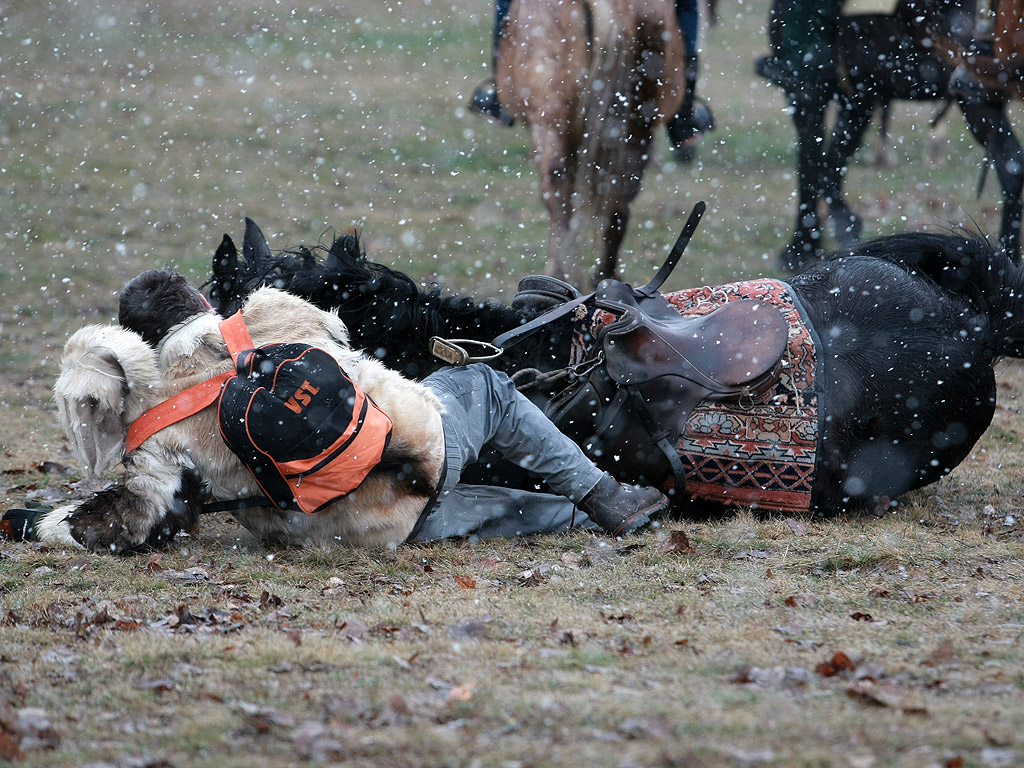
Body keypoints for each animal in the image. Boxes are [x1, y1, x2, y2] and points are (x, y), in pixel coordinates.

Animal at [497, 0, 684, 286]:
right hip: (636, 127)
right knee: (618, 197)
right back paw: (603, 277)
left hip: (550, 123)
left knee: (558, 189)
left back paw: (564, 274)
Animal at [761, 0, 1024, 270]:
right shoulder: (812, 95)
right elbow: (812, 168)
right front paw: (805, 245)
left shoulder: (853, 95)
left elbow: (824, 168)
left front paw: (825, 236)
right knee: (1010, 163)